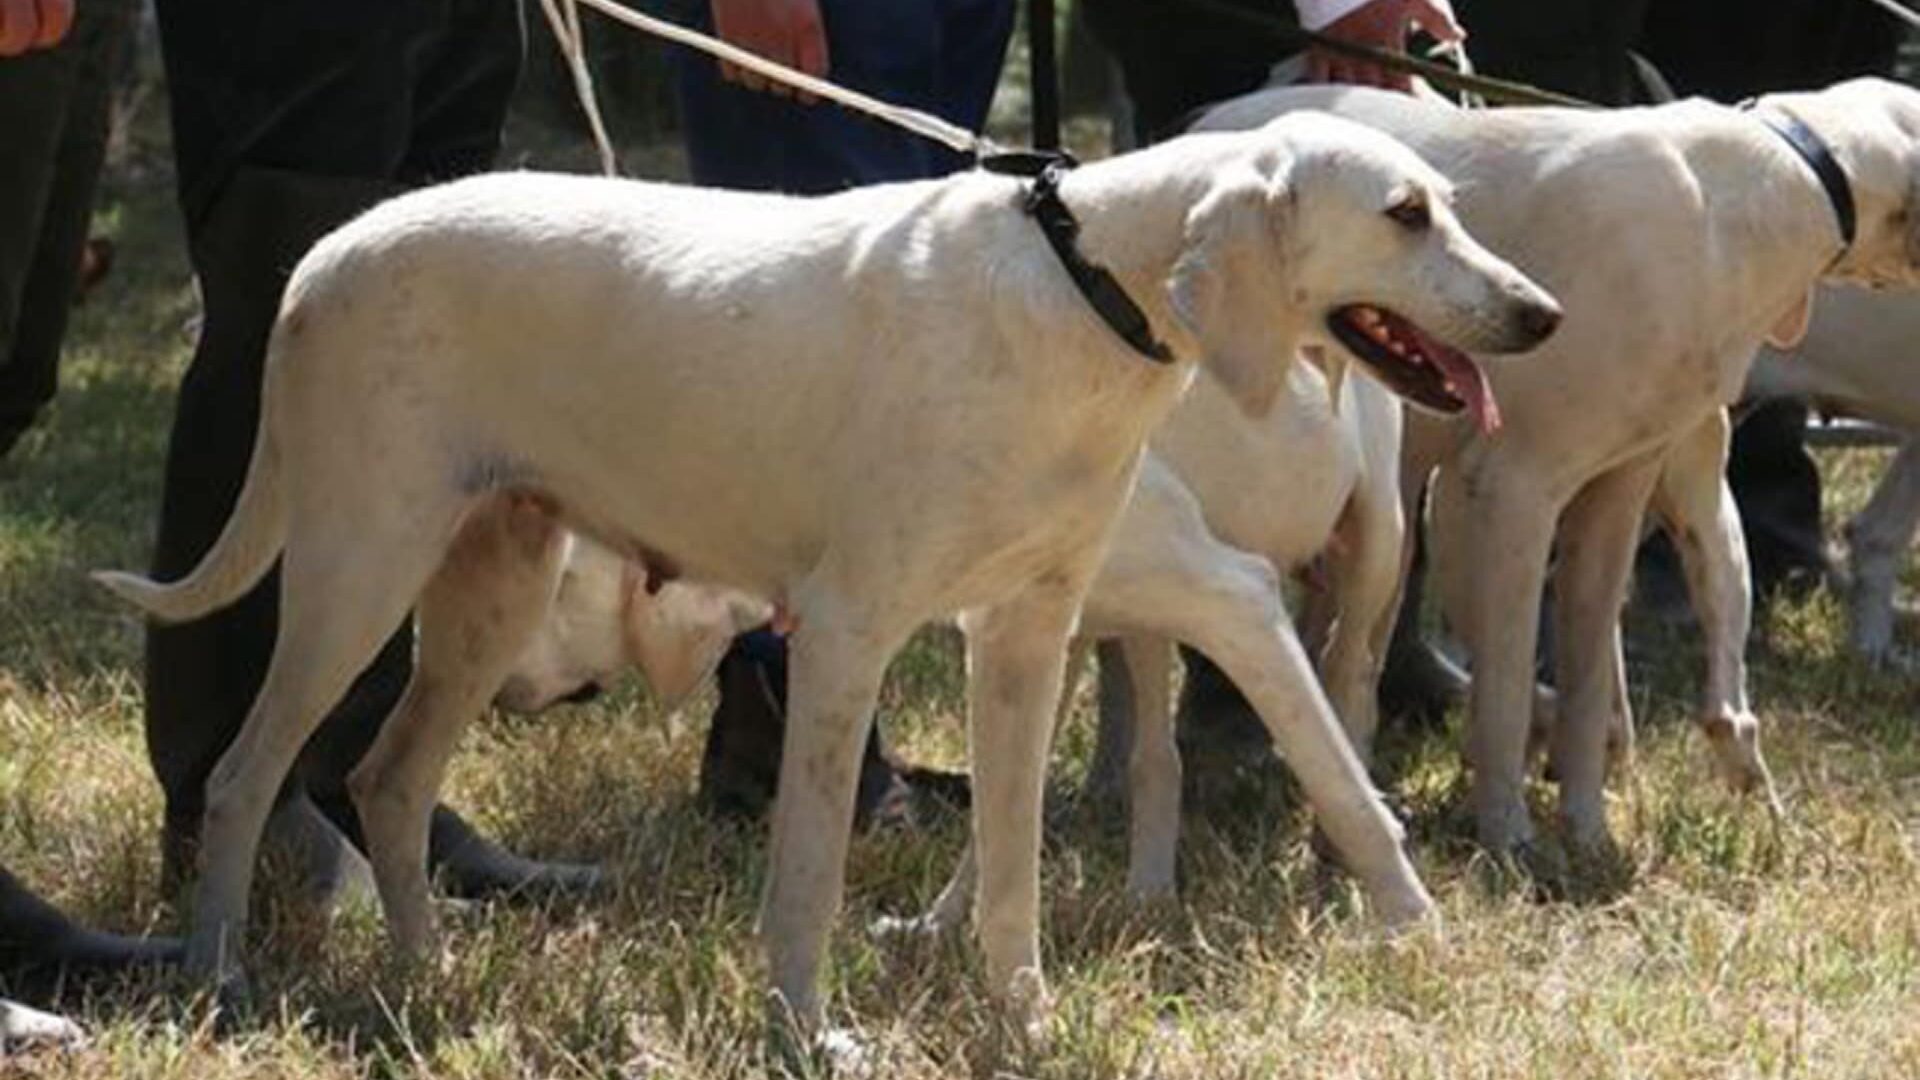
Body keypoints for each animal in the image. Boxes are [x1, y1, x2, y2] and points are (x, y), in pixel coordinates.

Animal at [93, 115, 1559, 1037]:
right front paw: (807, 1031)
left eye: (1447, 203)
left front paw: (1022, 1017)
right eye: (1406, 213)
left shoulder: (1024, 638)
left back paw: (423, 970)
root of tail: (321, 256)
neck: (1077, 286)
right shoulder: (849, 638)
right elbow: (807, 876)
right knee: (245, 775)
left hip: (483, 585)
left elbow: (1013, 860)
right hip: (357, 567)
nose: (1541, 316)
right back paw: (222, 980)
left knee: (389, 778)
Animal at [1198, 77, 1920, 857]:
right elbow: (1509, 687)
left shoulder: (1615, 494)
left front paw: (1587, 829)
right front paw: (1507, 837)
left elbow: (1587, 679)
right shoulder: (1510, 490)